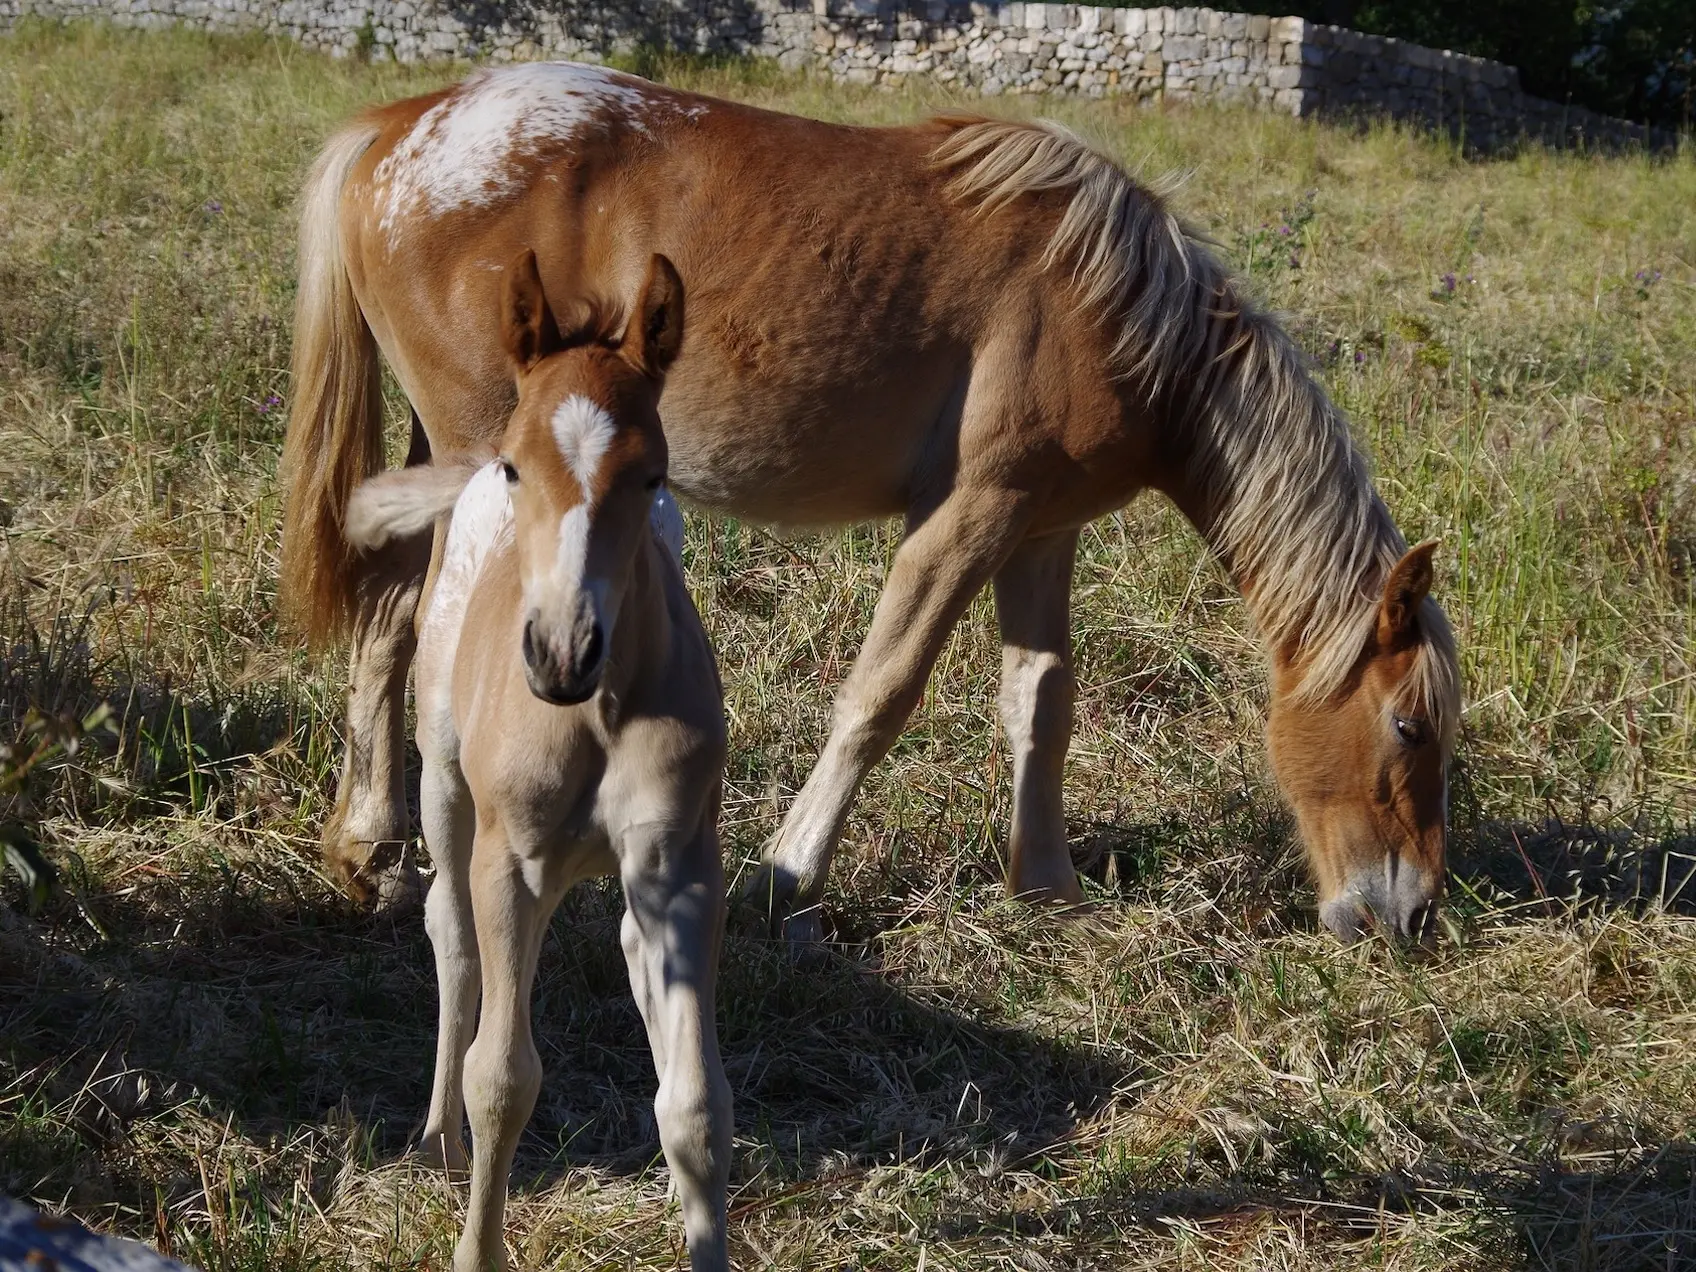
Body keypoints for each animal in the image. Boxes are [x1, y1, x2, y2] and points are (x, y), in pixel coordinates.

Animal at [278, 64, 1458, 949]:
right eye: (1408, 724)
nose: (1409, 917)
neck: (1119, 311)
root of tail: (399, 129)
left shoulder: (1041, 531)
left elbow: (1041, 703)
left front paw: (1046, 885)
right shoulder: (967, 516)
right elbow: (879, 695)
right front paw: (786, 870)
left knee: (385, 627)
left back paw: (370, 849)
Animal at [347, 251, 732, 1272]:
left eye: (652, 474)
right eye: (525, 466)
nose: (564, 651)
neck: (593, 716)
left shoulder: (680, 865)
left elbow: (697, 1105)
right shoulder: (511, 865)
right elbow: (502, 1078)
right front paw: (475, 1247)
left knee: (629, 948)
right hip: (447, 786)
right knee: (450, 935)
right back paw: (435, 1145)